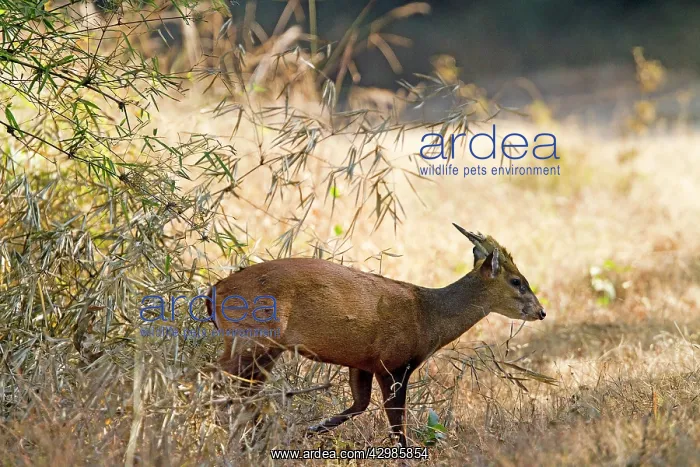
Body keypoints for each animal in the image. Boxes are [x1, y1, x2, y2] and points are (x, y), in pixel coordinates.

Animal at [205, 224, 545, 447]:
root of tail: (214, 291)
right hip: (254, 340)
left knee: (239, 389)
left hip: (259, 347)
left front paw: (302, 433)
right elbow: (397, 425)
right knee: (219, 379)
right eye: (517, 281)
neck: (428, 317)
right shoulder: (394, 363)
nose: (541, 312)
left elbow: (359, 405)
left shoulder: (362, 363)